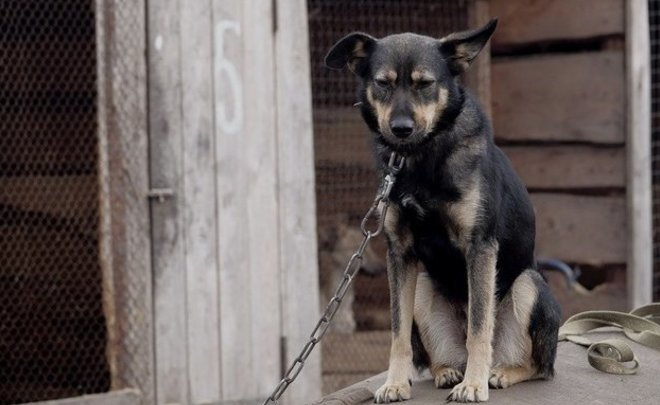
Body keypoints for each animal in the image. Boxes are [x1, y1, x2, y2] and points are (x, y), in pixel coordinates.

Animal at [325, 19, 561, 403]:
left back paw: (499, 373)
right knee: (439, 356)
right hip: (422, 286)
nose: (401, 129)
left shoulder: (480, 247)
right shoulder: (400, 253)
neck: (420, 160)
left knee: (537, 365)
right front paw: (395, 382)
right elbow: (397, 332)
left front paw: (475, 385)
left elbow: (479, 327)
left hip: (529, 284)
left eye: (425, 84)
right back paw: (448, 371)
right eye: (383, 83)